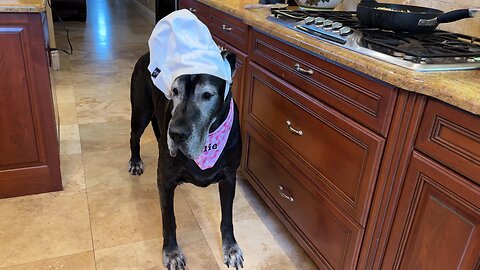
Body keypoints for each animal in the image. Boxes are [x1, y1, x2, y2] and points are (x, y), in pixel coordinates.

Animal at [128, 51, 244, 270]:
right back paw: (135, 161)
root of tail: (145, 54)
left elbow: (227, 217)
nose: (176, 134)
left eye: (207, 95)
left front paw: (231, 248)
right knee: (134, 137)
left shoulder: (229, 178)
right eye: (174, 91)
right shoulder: (165, 181)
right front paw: (172, 252)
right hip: (141, 112)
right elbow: (169, 220)